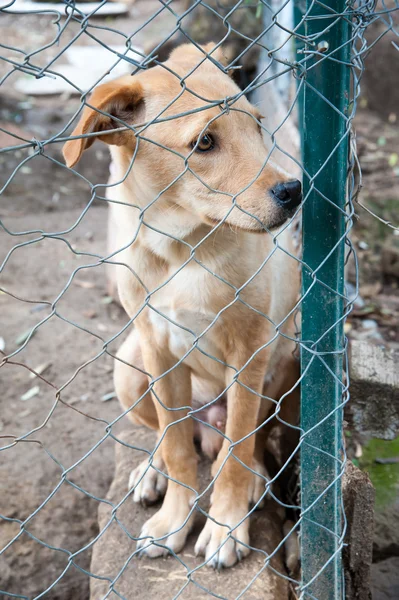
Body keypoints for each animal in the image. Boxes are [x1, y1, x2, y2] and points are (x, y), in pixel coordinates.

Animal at [63, 41, 300, 568]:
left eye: (258, 125)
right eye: (205, 142)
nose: (294, 191)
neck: (181, 248)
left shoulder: (248, 353)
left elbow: (236, 450)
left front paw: (226, 527)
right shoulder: (158, 349)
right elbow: (175, 446)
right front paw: (175, 520)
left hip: (291, 365)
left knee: (244, 441)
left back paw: (253, 477)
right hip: (129, 365)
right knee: (178, 437)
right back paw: (152, 471)